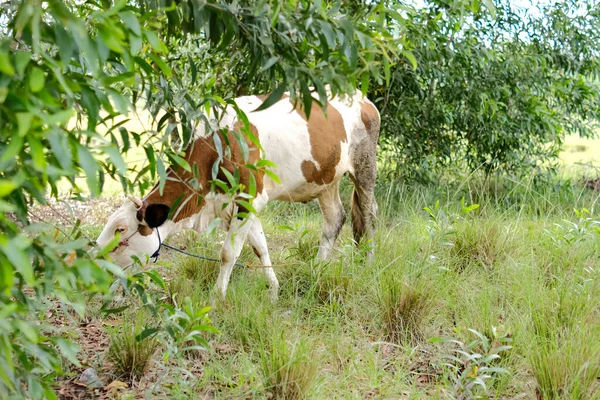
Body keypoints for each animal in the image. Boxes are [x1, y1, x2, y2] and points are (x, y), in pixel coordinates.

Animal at [98, 90, 380, 300]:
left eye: (121, 230)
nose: (97, 264)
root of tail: (362, 99)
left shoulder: (249, 197)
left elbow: (228, 253)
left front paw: (217, 298)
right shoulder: (237, 205)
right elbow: (260, 246)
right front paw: (274, 291)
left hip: (364, 167)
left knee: (368, 215)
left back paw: (368, 261)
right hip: (325, 179)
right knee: (335, 219)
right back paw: (317, 269)